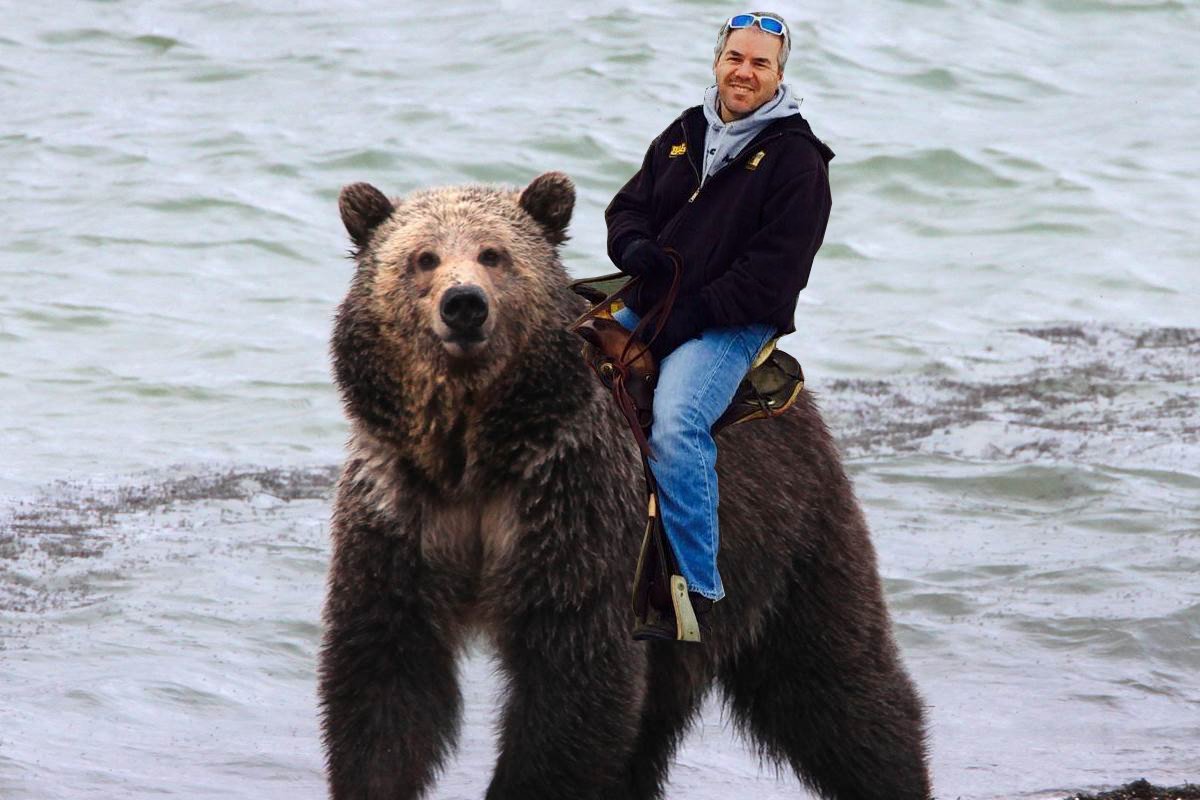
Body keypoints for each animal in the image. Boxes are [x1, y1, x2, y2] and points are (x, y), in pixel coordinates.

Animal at [319, 172, 931, 800]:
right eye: (423, 257)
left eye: (494, 253)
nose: (464, 304)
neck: (476, 454)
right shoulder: (402, 512)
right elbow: (386, 675)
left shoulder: (571, 509)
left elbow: (574, 685)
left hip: (785, 535)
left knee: (831, 681)